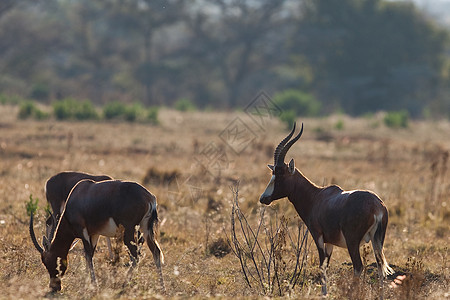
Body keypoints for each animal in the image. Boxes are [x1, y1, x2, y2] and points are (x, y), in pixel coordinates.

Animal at [29, 179, 164, 292]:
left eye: (47, 261)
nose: (54, 287)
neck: (77, 195)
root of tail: (150, 197)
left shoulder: (83, 232)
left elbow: (88, 255)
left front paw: (93, 285)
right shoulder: (94, 234)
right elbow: (90, 255)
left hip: (129, 231)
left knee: (136, 256)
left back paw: (124, 285)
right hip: (146, 229)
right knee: (155, 251)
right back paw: (162, 288)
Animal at [260, 122, 394, 296]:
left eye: (280, 175)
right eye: (273, 173)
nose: (263, 198)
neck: (317, 196)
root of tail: (376, 206)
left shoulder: (318, 236)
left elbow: (322, 265)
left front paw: (324, 293)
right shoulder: (330, 242)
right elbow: (326, 265)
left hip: (352, 241)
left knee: (358, 266)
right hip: (378, 240)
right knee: (380, 266)